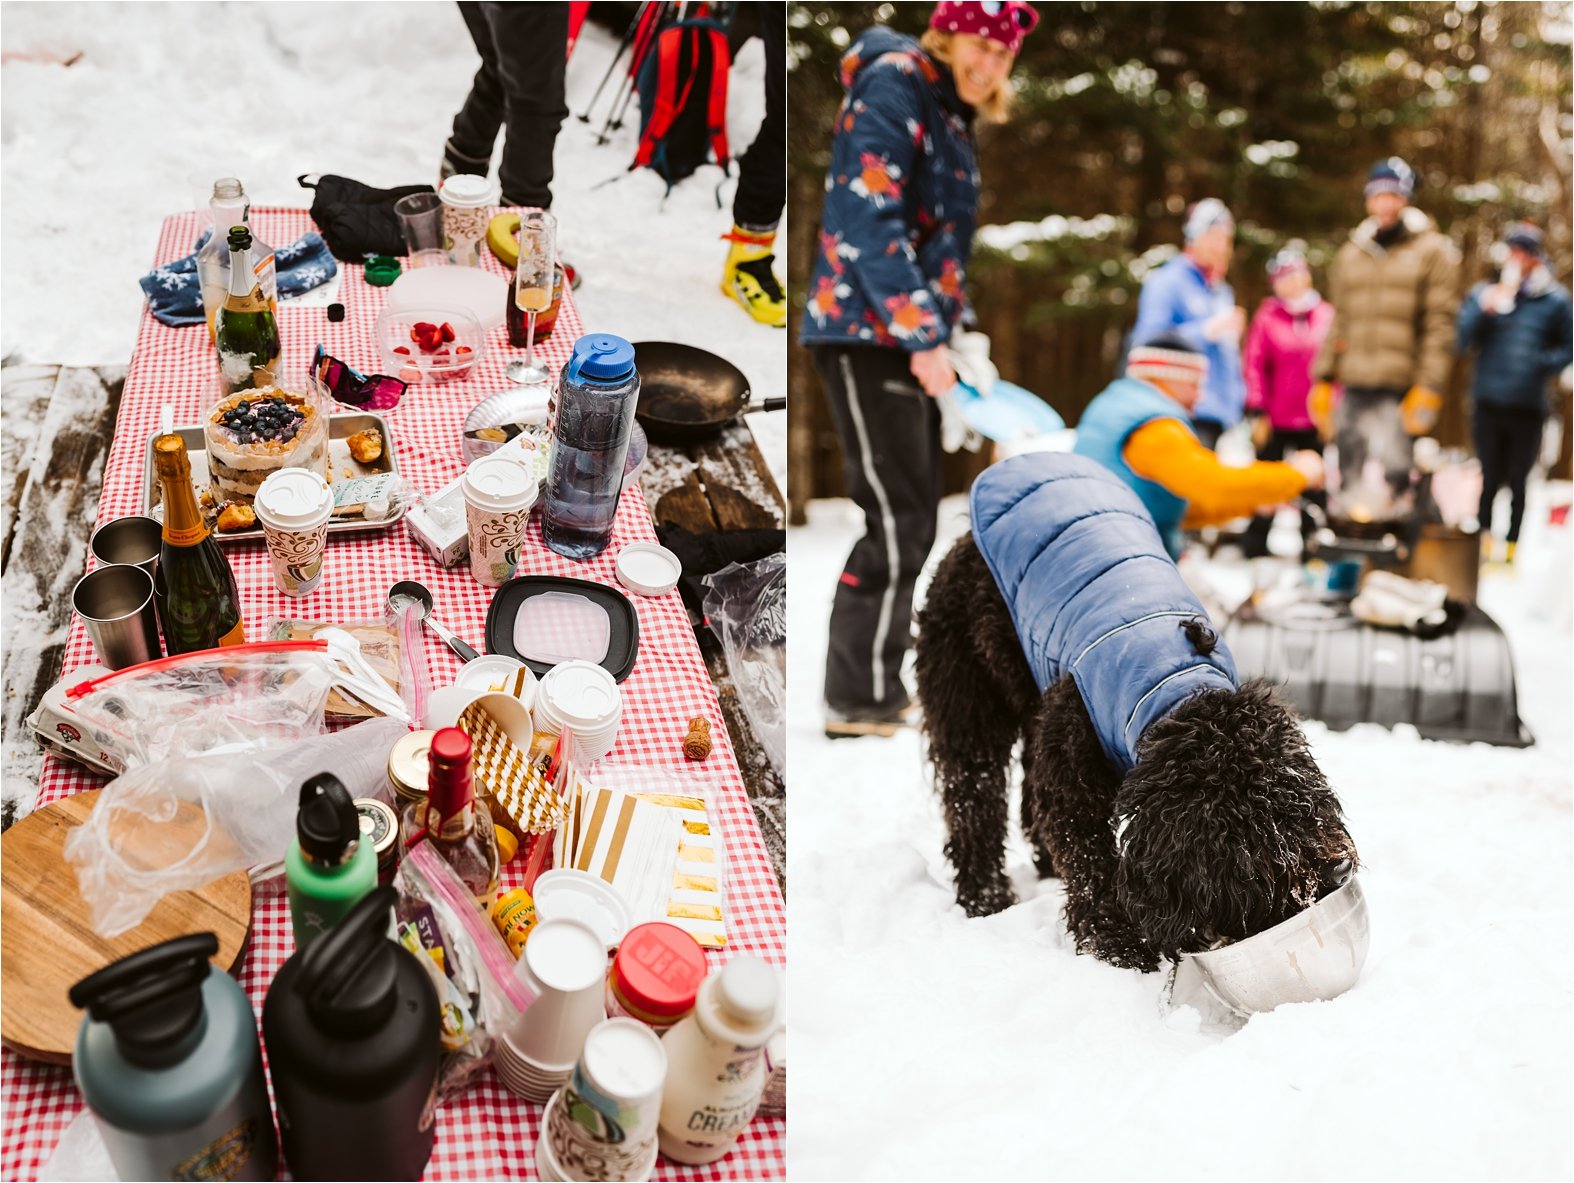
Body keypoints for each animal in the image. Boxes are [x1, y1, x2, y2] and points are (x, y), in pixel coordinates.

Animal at [919, 453, 1359, 969]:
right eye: (1257, 831)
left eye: (1307, 799)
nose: (1338, 869)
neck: (1177, 695)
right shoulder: (1073, 776)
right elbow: (1089, 860)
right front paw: (1118, 943)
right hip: (967, 694)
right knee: (973, 791)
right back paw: (984, 896)